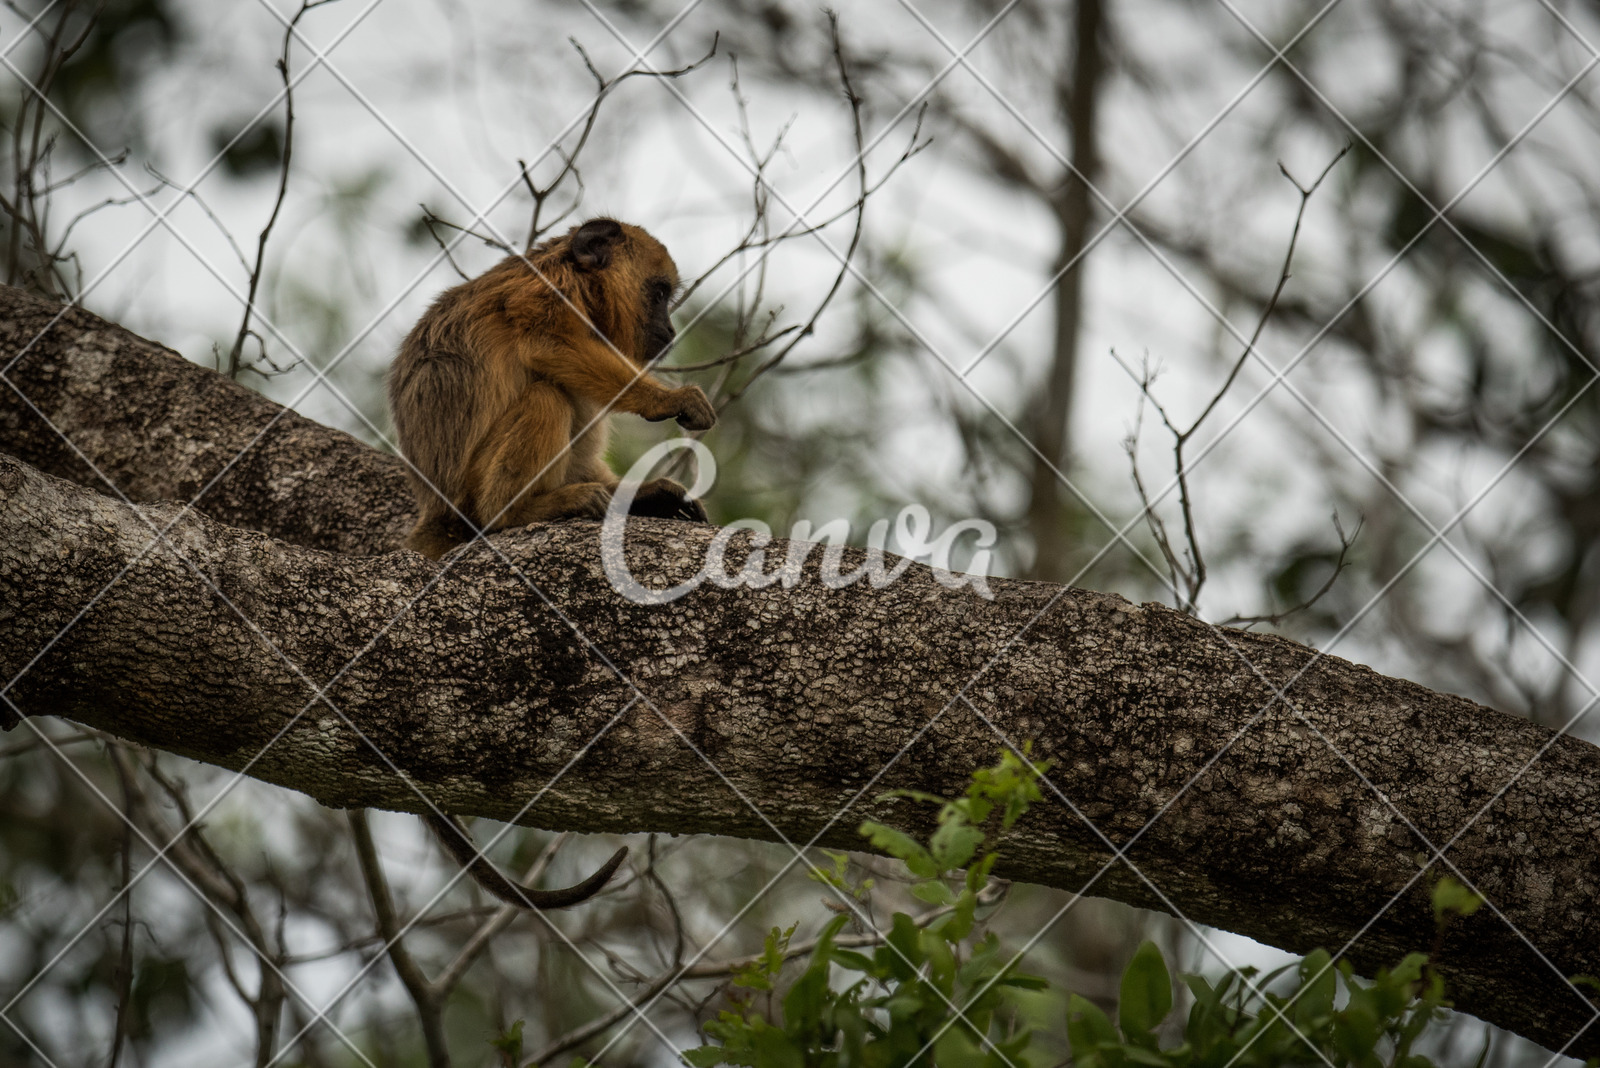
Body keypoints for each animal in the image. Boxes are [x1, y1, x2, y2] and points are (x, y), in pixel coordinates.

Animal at [387, 220, 713, 562]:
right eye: (660, 294)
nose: (671, 329)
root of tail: (438, 514)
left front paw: (648, 494)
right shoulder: (549, 286)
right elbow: (546, 343)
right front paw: (665, 400)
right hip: (468, 493)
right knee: (546, 398)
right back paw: (513, 512)